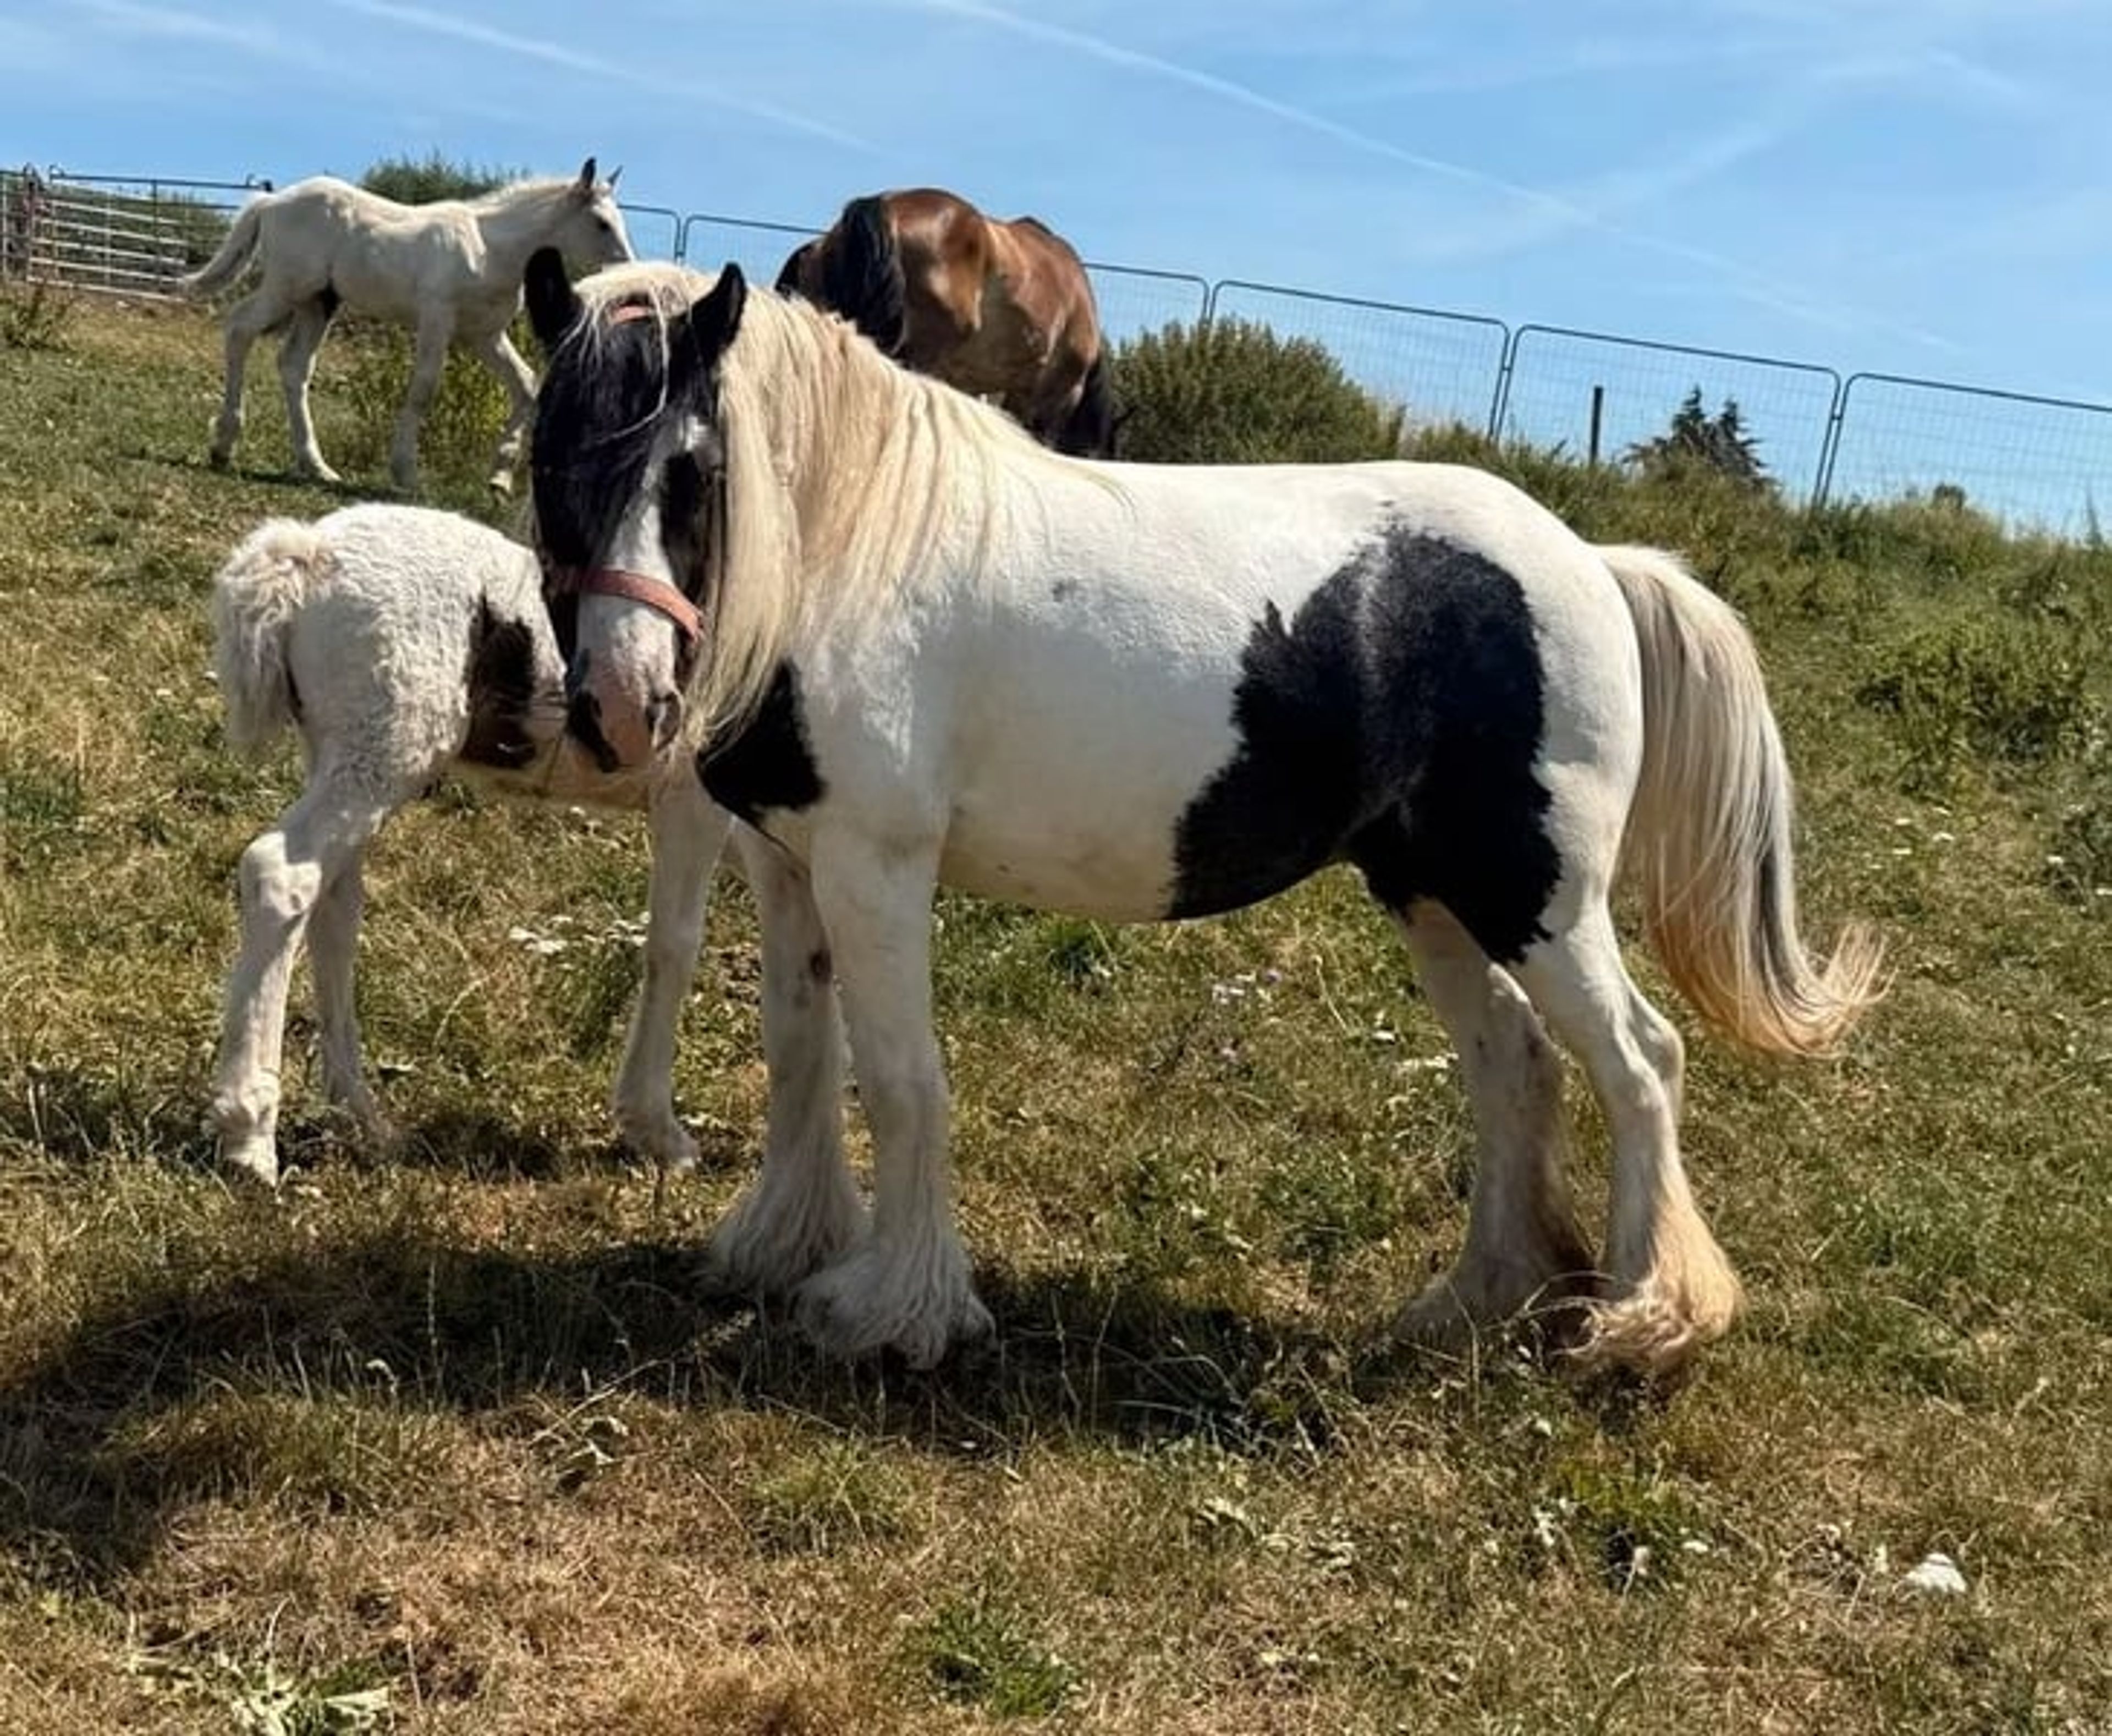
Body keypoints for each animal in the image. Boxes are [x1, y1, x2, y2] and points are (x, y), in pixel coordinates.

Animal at [181, 159, 633, 496]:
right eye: (601, 223)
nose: (627, 271)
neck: (491, 250)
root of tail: (273, 201)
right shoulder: (437, 319)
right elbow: (424, 388)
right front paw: (406, 474)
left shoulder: (483, 335)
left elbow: (525, 385)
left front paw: (499, 479)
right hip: (287, 286)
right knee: (240, 329)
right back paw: (224, 445)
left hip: (319, 302)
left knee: (294, 367)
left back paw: (316, 466)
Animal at [207, 501, 752, 1186]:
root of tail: (307, 551)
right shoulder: (692, 801)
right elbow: (676, 945)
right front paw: (658, 1131)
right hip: (388, 750)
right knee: (284, 875)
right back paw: (250, 1133)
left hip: (344, 753)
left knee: (333, 906)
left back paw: (361, 1117)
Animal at [520, 250, 1885, 1382]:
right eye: (551, 453)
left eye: (694, 470)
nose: (622, 705)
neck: (853, 547)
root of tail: (1596, 563)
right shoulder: (790, 863)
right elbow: (804, 1051)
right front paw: (784, 1246)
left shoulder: (878, 868)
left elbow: (904, 1080)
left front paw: (901, 1313)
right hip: (1431, 890)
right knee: (1515, 1064)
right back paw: (1474, 1301)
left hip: (1534, 894)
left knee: (1640, 1062)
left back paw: (1649, 1319)